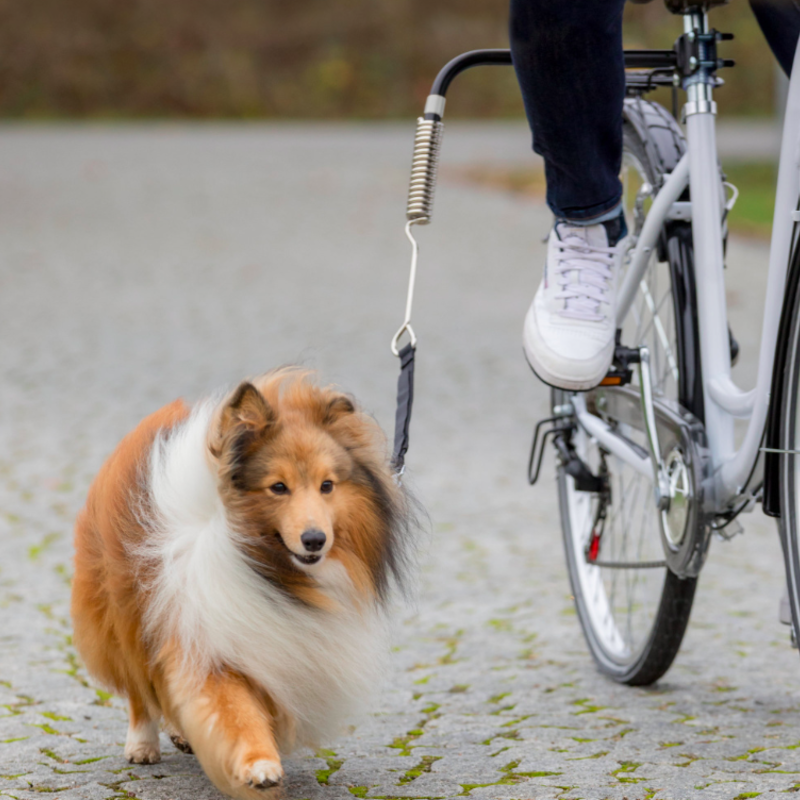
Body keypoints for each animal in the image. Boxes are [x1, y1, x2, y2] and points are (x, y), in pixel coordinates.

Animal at [69, 372, 412, 796]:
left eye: (327, 485)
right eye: (278, 487)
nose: (315, 540)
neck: (269, 569)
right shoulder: (209, 638)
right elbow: (234, 711)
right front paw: (259, 766)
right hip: (122, 610)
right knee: (137, 684)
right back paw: (142, 744)